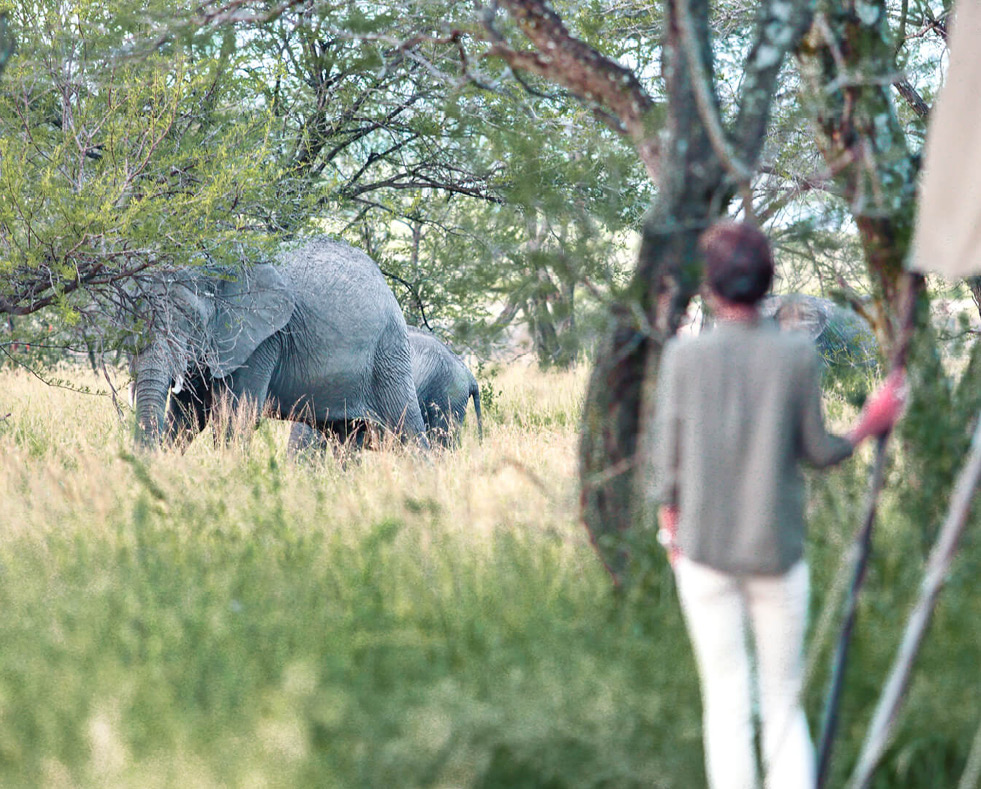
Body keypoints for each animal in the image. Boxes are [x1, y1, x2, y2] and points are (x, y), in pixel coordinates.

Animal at [130, 236, 429, 449]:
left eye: (191, 320)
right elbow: (188, 416)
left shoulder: (261, 340)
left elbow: (236, 418)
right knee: (343, 435)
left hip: (388, 353)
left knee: (407, 430)